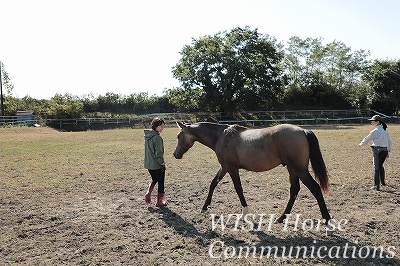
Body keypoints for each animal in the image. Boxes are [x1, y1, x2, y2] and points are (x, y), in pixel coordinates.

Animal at [173, 121, 332, 233]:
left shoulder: (231, 168)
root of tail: (303, 131)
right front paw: (204, 207)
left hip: (300, 170)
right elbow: (213, 183)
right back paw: (281, 218)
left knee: (315, 188)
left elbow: (238, 188)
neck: (221, 137)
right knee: (294, 190)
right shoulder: (224, 167)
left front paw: (244, 214)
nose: (175, 154)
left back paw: (328, 223)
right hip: (292, 169)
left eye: (179, 136)